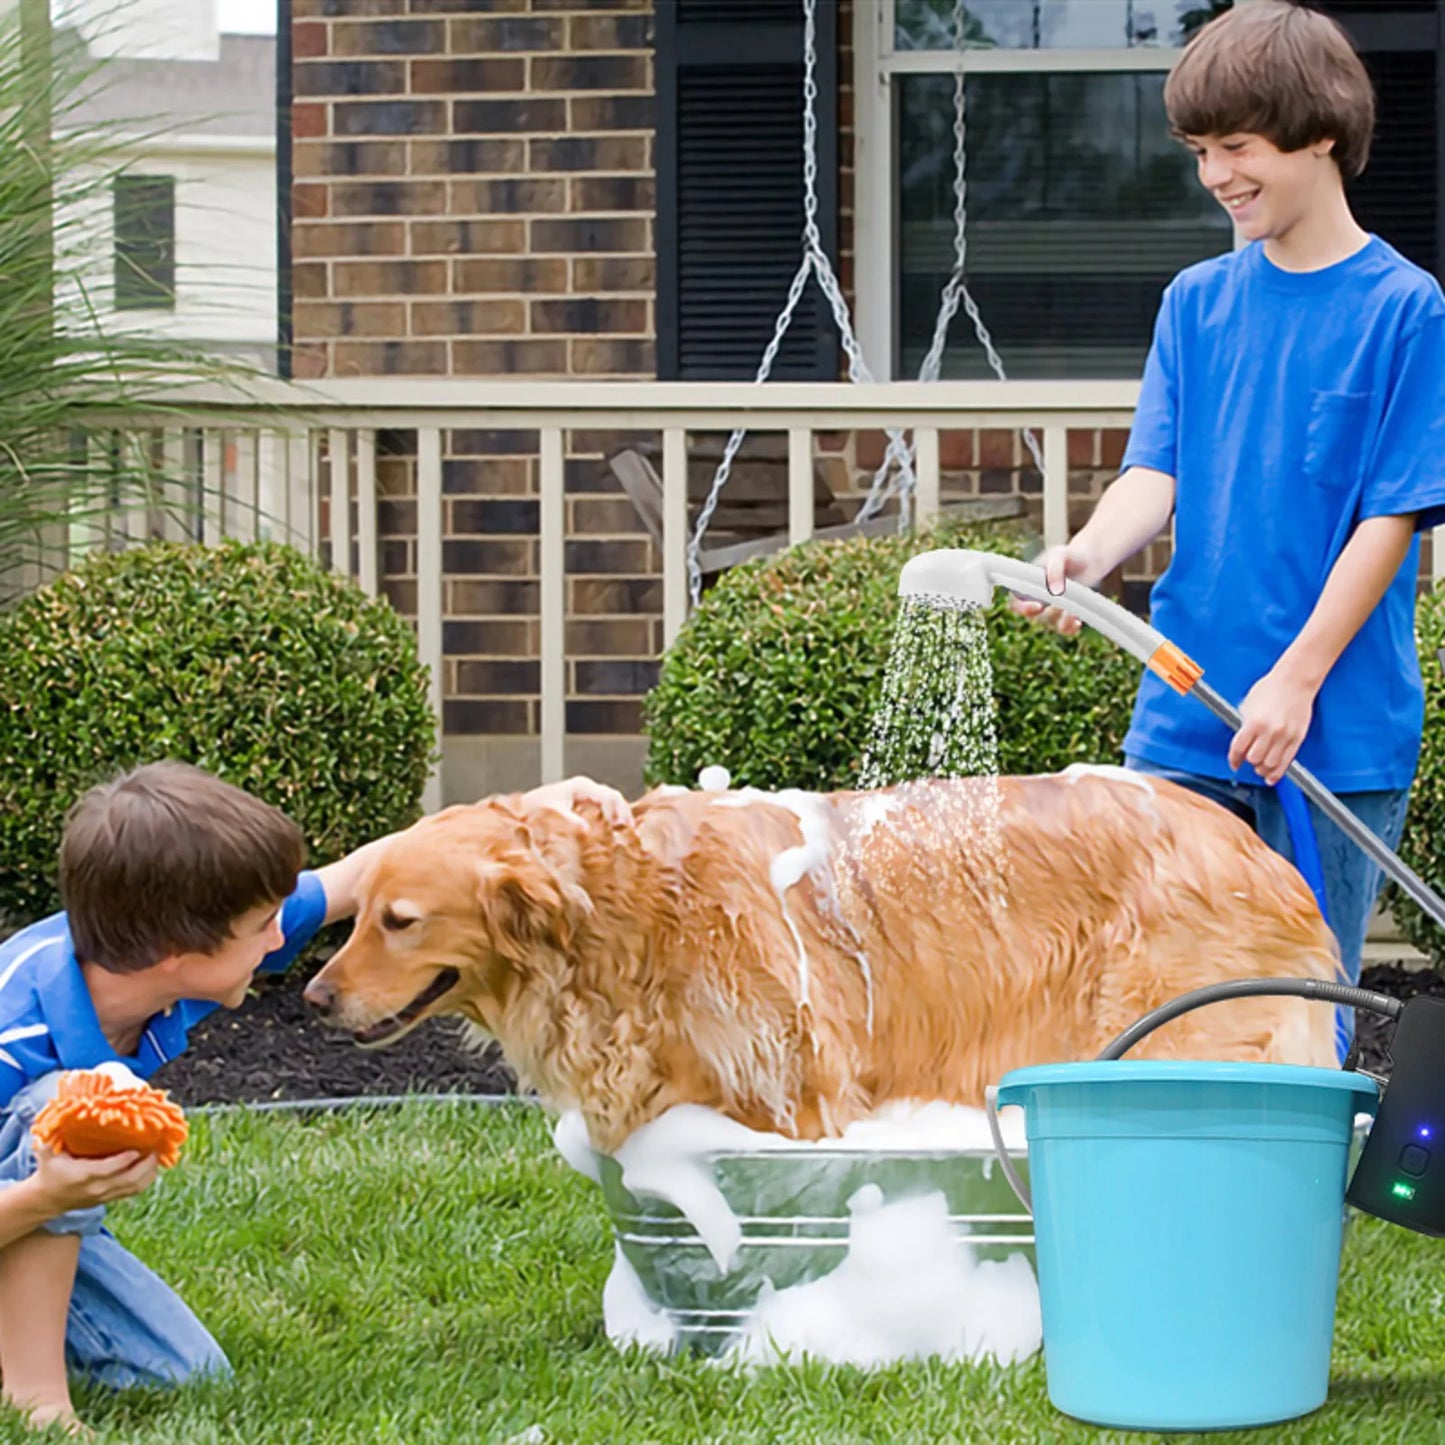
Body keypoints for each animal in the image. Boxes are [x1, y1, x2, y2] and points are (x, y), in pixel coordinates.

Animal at [307, 774, 1340, 1156]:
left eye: (400, 921)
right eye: (357, 915)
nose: (313, 996)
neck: (632, 910)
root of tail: (1260, 852)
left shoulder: (798, 1095)